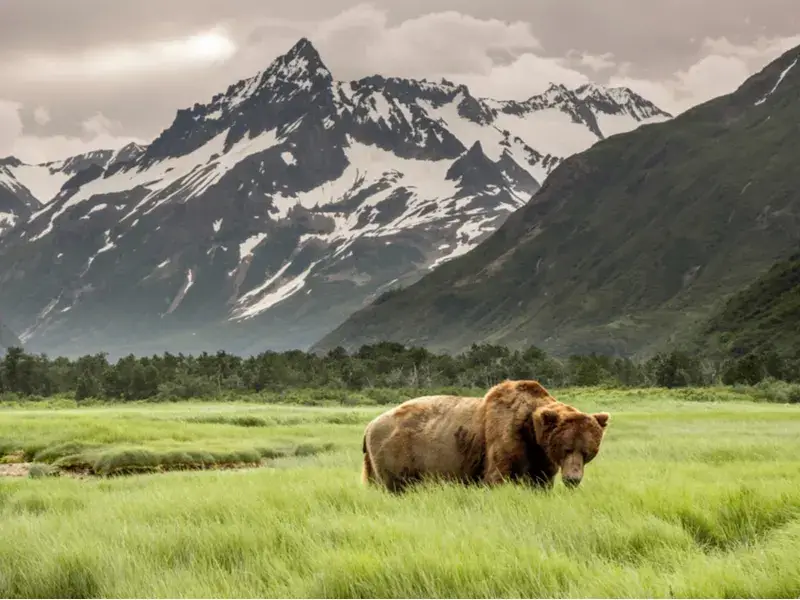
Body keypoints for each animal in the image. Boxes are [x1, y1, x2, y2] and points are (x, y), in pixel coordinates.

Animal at [360, 380, 608, 492]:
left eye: (587, 452)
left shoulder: (541, 457)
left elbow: (541, 480)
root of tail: (369, 425)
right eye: (567, 448)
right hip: (397, 452)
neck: (531, 431)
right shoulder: (503, 438)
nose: (573, 479)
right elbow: (497, 476)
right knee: (395, 485)